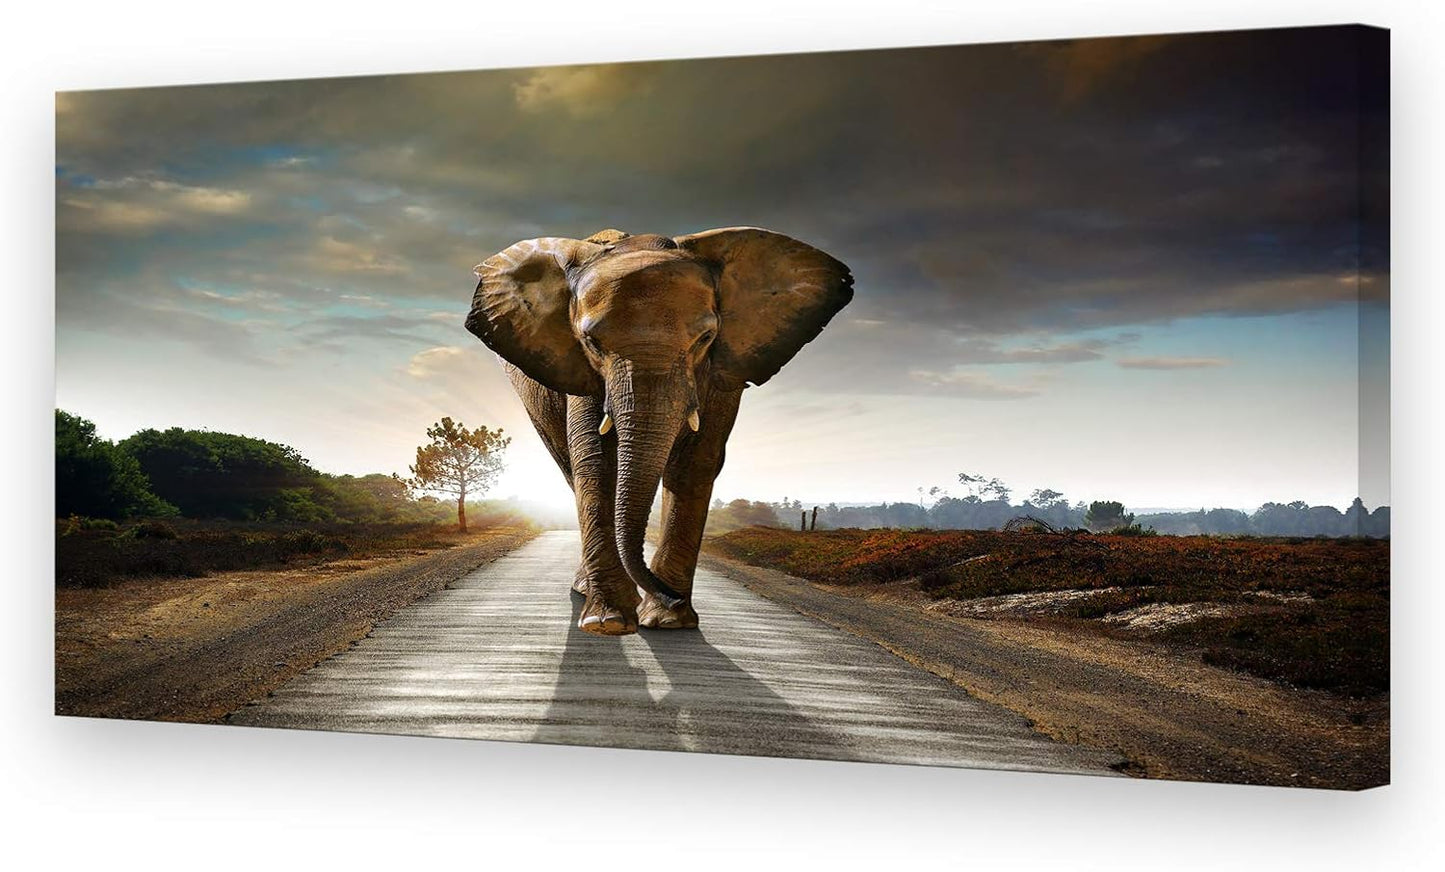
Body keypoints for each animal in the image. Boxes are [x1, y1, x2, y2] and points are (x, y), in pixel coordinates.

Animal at [465, 226, 853, 635]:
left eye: (705, 338)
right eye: (591, 342)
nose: (672, 596)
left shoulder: (723, 371)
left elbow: (695, 464)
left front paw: (668, 621)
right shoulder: (579, 370)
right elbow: (596, 461)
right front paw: (610, 622)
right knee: (570, 466)